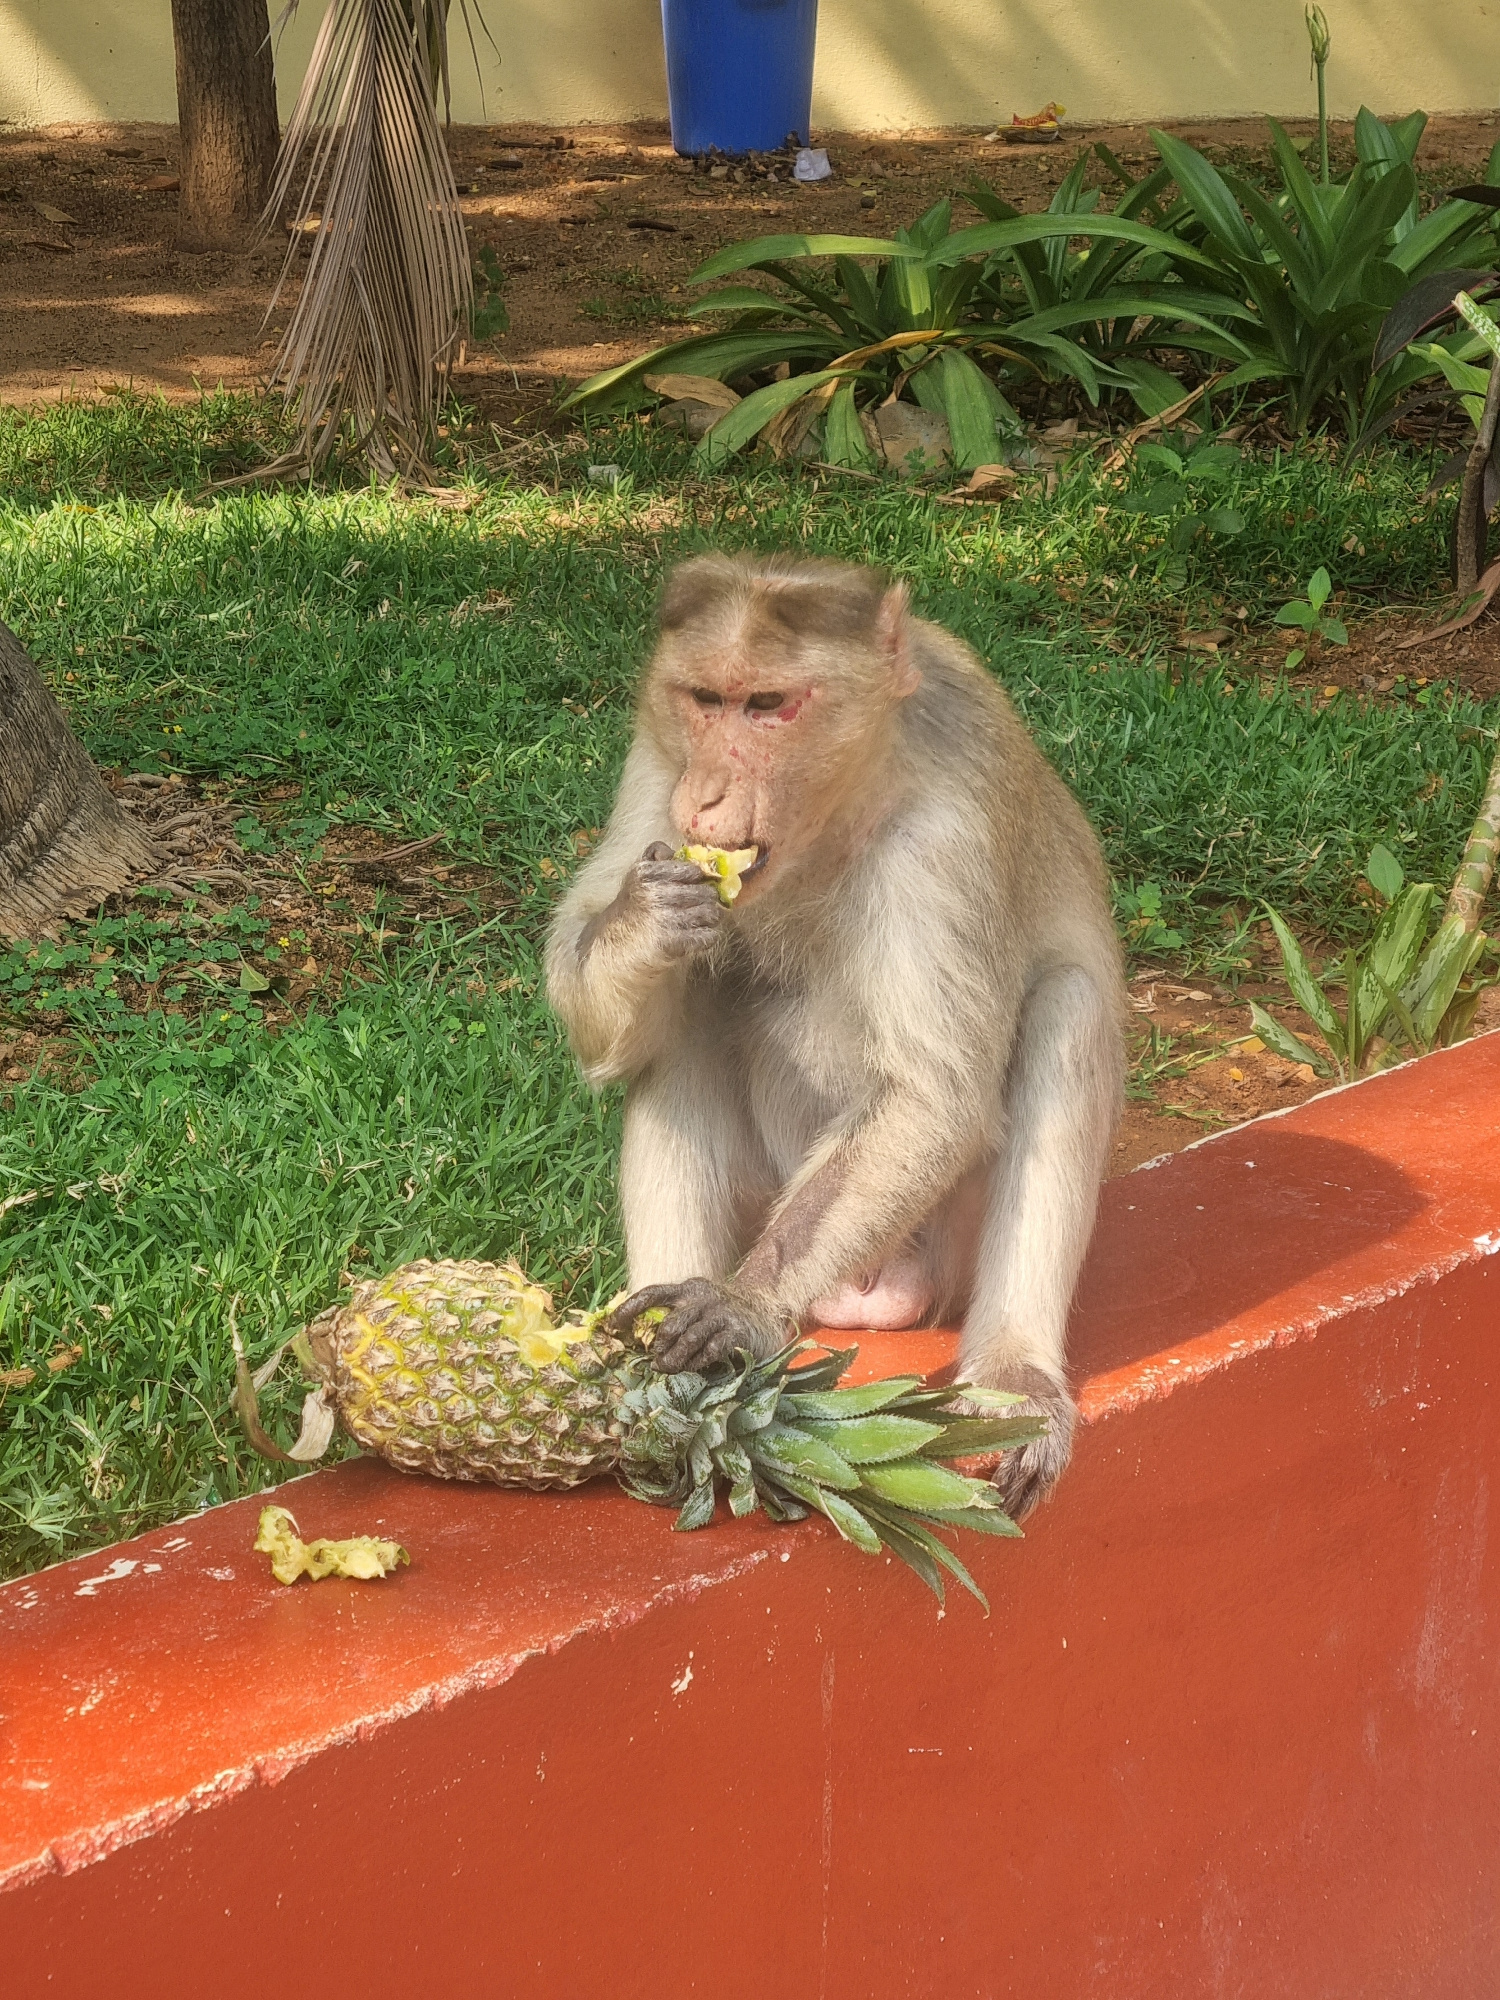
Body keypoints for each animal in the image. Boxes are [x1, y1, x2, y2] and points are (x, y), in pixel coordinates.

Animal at [545, 553, 1125, 1515]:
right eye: (706, 698)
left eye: (769, 705)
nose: (706, 792)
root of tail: (869, 1292)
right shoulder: (655, 762)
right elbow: (589, 990)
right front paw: (641, 921)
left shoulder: (948, 832)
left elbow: (933, 1095)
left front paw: (740, 1306)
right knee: (692, 1012)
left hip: (936, 1243)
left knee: (1068, 1007)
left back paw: (1013, 1375)